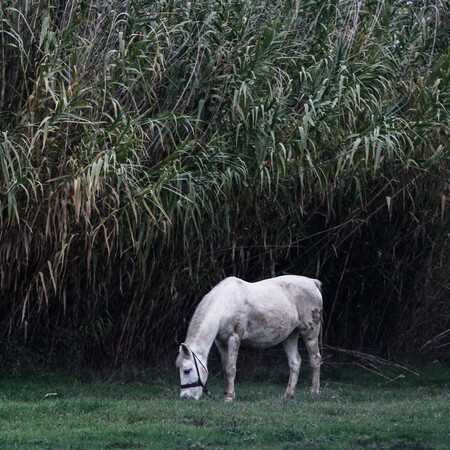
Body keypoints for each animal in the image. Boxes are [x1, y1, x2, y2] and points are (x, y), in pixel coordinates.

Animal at [174, 276, 322, 402]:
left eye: (187, 370)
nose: (185, 397)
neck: (224, 305)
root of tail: (312, 282)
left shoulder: (234, 338)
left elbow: (231, 368)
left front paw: (229, 397)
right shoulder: (221, 342)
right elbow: (224, 368)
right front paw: (226, 393)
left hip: (310, 331)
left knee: (315, 359)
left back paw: (314, 393)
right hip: (290, 335)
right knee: (295, 362)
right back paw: (288, 395)